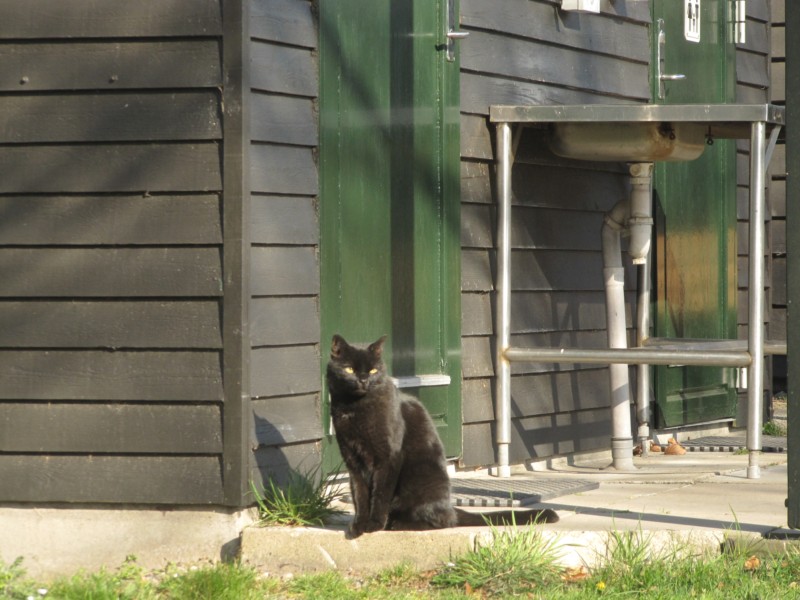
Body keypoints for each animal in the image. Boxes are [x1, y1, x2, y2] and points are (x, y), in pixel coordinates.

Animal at [324, 332, 556, 540]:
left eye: (372, 370)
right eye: (349, 369)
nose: (363, 380)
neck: (354, 408)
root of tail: (450, 508)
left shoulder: (388, 457)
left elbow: (380, 493)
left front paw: (373, 525)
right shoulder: (353, 460)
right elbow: (359, 496)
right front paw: (357, 526)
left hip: (420, 481)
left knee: (441, 521)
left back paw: (396, 523)